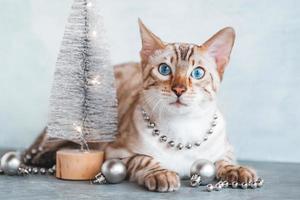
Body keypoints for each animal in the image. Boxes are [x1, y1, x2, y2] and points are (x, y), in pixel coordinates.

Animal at [24, 19, 256, 192]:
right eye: (164, 69)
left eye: (197, 73)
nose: (179, 89)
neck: (182, 131)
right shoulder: (115, 153)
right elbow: (144, 160)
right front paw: (161, 174)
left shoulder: (227, 149)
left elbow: (223, 161)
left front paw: (238, 170)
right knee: (47, 146)